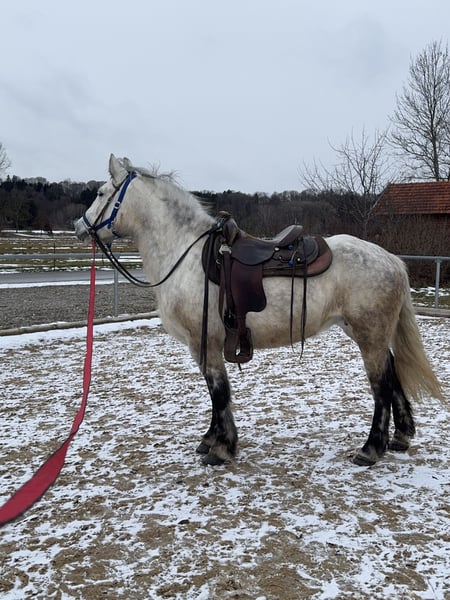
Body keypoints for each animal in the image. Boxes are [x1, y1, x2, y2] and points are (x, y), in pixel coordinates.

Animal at [75, 154, 443, 467]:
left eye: (102, 192)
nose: (80, 227)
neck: (185, 253)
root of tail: (391, 259)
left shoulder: (205, 342)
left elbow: (219, 391)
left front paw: (222, 448)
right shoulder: (204, 345)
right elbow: (214, 392)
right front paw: (211, 440)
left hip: (370, 335)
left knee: (381, 386)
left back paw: (370, 449)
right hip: (366, 332)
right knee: (392, 374)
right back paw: (400, 437)